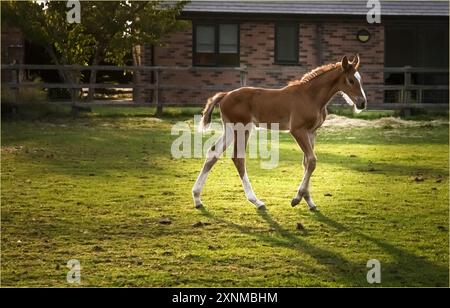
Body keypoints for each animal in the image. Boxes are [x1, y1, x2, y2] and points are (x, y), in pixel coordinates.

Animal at [192, 54, 368, 209]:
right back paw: (256, 201)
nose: (362, 103)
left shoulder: (312, 132)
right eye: (351, 80)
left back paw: (197, 198)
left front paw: (309, 200)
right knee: (238, 158)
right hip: (243, 127)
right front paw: (297, 198)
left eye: (360, 80)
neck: (311, 96)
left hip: (230, 128)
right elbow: (312, 161)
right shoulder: (297, 130)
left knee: (213, 153)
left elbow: (306, 162)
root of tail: (225, 95)